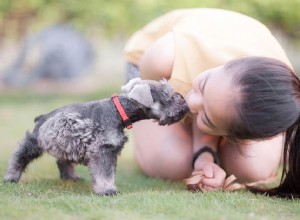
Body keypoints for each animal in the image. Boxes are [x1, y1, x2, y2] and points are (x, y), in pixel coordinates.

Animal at [3, 78, 189, 195]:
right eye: (167, 95)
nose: (185, 103)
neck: (117, 112)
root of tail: (43, 117)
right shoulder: (102, 151)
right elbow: (104, 173)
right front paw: (107, 190)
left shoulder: (111, 152)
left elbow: (109, 173)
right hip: (34, 143)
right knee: (19, 156)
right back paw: (11, 177)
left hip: (66, 143)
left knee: (62, 161)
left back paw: (71, 177)